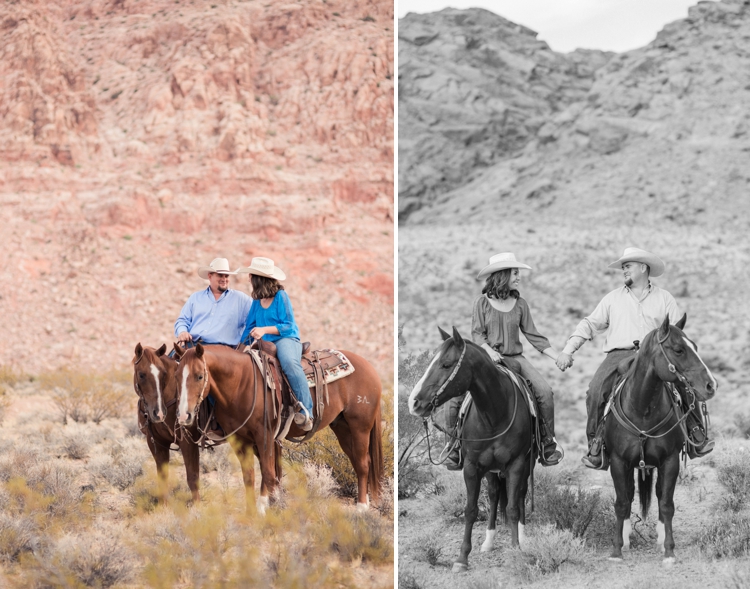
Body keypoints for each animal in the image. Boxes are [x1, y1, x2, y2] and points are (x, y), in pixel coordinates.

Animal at [132, 344, 201, 500]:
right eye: (141, 375)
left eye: (163, 374)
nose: (158, 413)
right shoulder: (156, 442)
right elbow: (162, 477)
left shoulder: (188, 442)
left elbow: (192, 478)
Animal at [176, 342, 384, 512]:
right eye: (178, 376)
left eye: (199, 376)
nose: (184, 416)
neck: (241, 384)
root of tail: (368, 366)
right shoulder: (240, 440)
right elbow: (249, 476)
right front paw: (251, 514)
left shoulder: (265, 436)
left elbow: (269, 474)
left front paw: (272, 511)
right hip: (342, 428)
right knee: (359, 461)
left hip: (360, 426)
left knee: (363, 464)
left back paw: (361, 508)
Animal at [408, 324, 536, 572]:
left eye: (446, 364)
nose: (414, 402)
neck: (494, 414)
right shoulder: (471, 466)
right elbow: (471, 510)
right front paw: (461, 559)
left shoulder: (516, 464)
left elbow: (513, 508)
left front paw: (516, 551)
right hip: (492, 470)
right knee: (495, 495)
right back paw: (488, 542)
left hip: (527, 464)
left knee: (521, 494)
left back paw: (524, 538)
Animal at [604, 314, 716, 564]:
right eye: (679, 350)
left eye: (695, 346)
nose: (711, 385)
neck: (642, 409)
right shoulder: (618, 461)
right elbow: (621, 502)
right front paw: (616, 550)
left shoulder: (669, 461)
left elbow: (666, 504)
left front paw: (669, 551)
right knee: (628, 493)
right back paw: (626, 538)